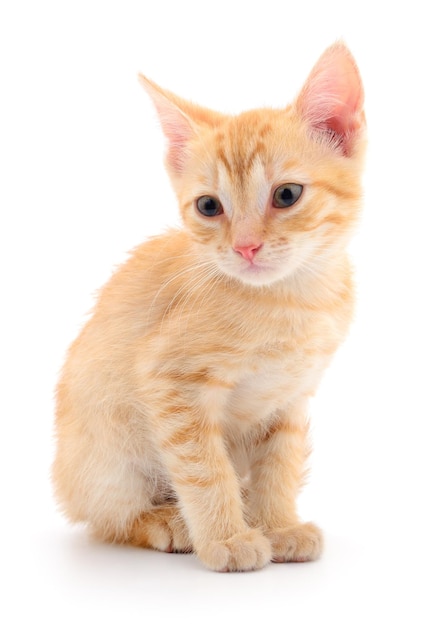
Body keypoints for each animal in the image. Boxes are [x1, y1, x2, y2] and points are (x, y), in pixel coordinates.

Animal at [52, 42, 366, 572]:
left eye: (287, 195)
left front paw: (278, 524)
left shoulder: (291, 396)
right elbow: (203, 467)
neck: (292, 299)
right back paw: (167, 521)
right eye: (208, 207)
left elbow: (279, 462)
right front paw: (226, 538)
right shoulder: (170, 382)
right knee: (108, 518)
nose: (245, 247)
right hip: (107, 452)